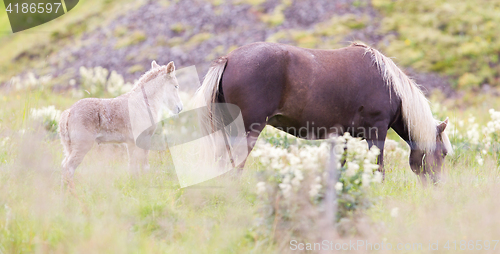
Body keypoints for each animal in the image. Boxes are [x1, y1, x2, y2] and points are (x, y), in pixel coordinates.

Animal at [196, 42, 454, 183]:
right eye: (443, 154)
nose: (437, 184)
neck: (389, 84)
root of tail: (228, 59)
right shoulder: (377, 132)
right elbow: (378, 167)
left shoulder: (344, 137)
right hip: (247, 130)